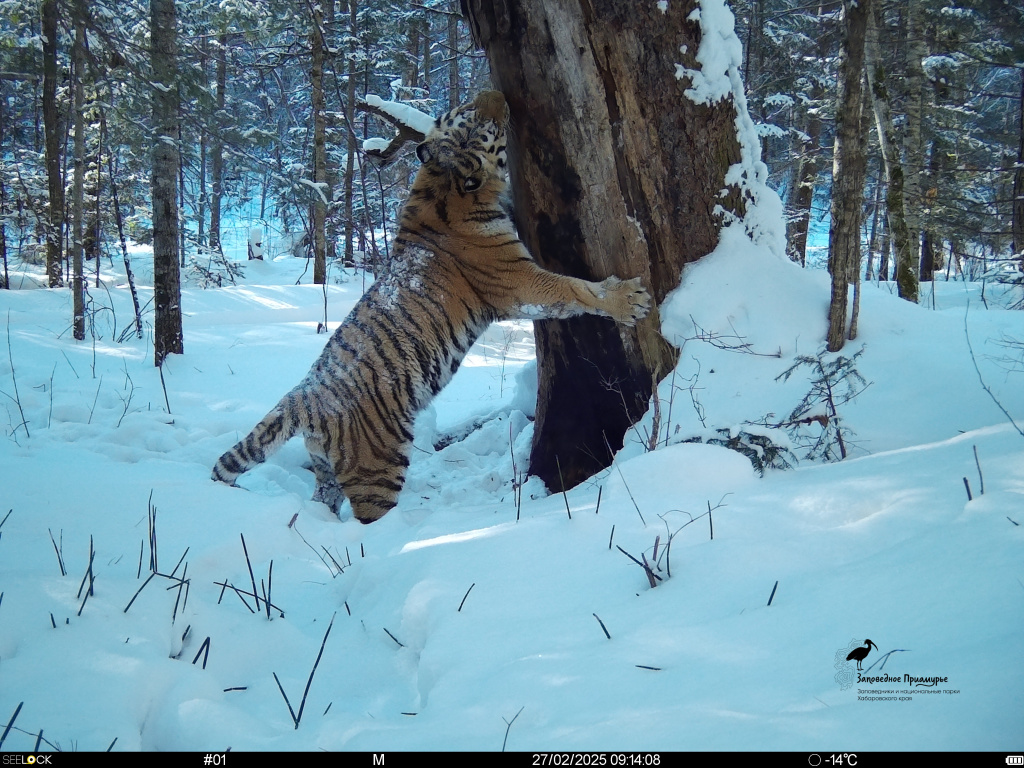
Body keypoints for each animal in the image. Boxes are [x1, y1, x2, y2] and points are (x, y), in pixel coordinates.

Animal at [212, 90, 651, 523]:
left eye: (462, 108)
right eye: (480, 121)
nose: (496, 91)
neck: (446, 181)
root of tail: (302, 396)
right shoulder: (519, 283)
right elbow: (575, 290)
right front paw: (629, 299)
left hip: (327, 470)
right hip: (377, 468)